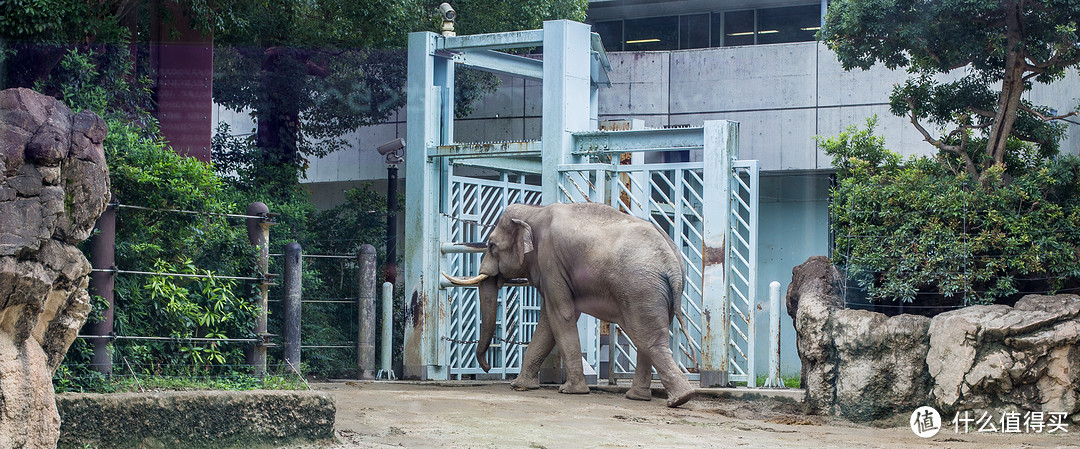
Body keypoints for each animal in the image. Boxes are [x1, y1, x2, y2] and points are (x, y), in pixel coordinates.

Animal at [442, 202, 695, 405]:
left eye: (491, 245)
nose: (486, 368)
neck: (534, 211)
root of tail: (673, 263)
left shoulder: (550, 261)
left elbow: (561, 315)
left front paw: (570, 391)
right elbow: (548, 321)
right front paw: (520, 385)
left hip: (640, 288)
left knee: (648, 339)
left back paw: (680, 399)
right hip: (657, 293)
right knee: (647, 338)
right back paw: (640, 397)